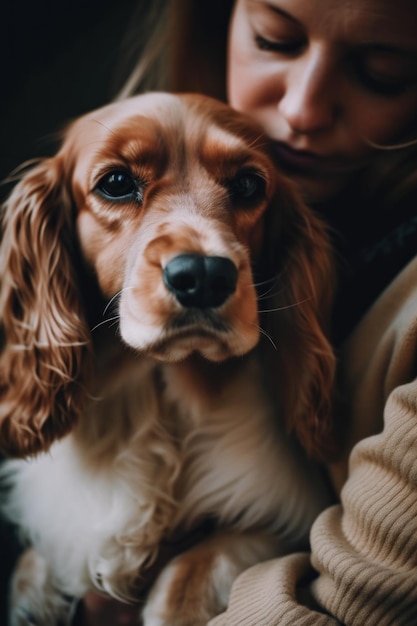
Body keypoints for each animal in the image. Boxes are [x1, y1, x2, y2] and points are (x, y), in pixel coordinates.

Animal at [0, 92, 334, 624]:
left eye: (248, 185)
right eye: (116, 183)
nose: (204, 275)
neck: (155, 395)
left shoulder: (280, 520)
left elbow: (193, 570)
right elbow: (33, 567)